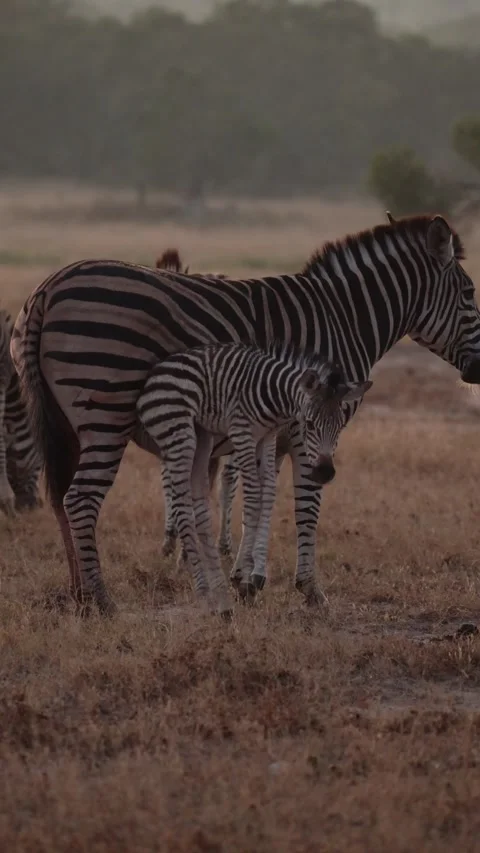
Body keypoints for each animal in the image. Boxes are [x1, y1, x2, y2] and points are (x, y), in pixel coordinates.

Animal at [136, 341, 372, 614]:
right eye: (310, 424)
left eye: (341, 426)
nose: (325, 472)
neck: (271, 393)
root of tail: (156, 371)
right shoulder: (242, 434)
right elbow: (252, 497)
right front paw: (246, 578)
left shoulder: (267, 438)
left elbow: (267, 492)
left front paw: (251, 573)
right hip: (178, 432)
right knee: (181, 499)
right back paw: (202, 590)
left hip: (201, 438)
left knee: (197, 500)